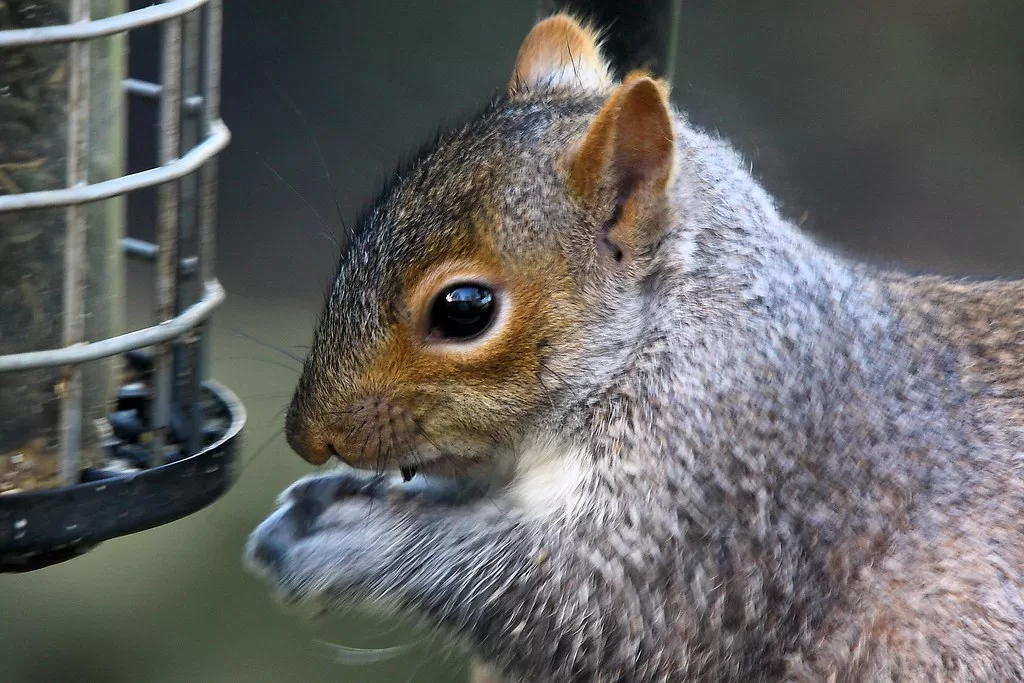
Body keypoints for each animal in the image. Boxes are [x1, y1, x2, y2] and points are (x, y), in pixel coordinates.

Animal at [243, 12, 1024, 683]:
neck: (674, 327)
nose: (309, 437)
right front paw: (331, 498)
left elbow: (588, 605)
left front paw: (351, 540)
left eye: (463, 310)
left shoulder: (727, 490)